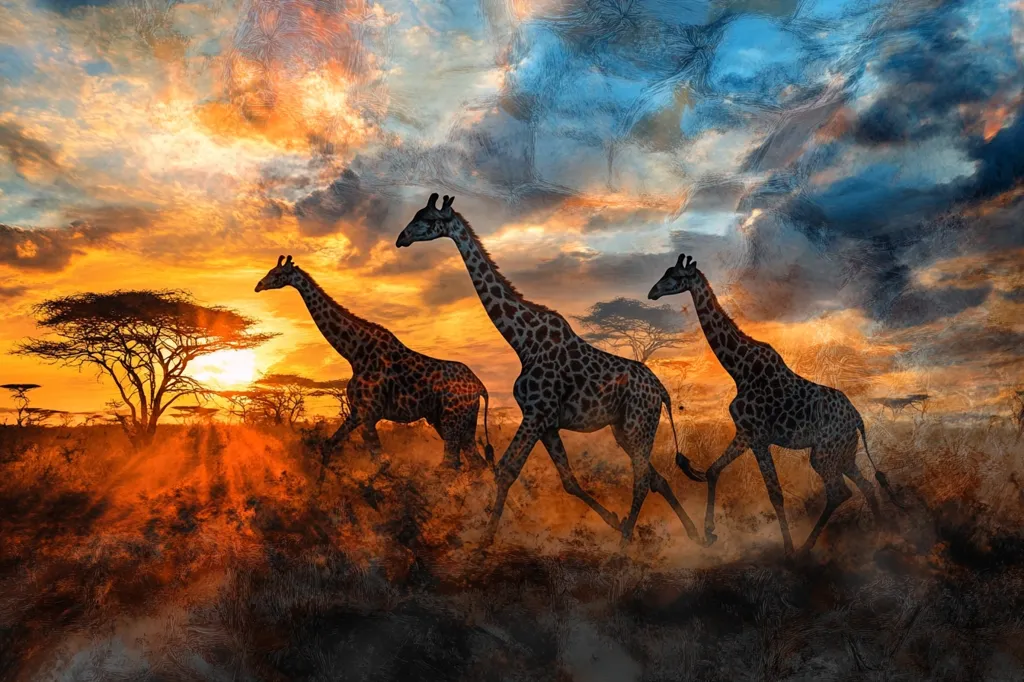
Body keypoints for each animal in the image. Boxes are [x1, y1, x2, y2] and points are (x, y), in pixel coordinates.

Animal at [255, 255, 494, 471]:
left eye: (276, 273)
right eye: (269, 271)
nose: (258, 285)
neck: (355, 354)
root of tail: (480, 386)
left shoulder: (369, 415)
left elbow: (381, 462)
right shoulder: (357, 412)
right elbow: (328, 446)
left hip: (452, 419)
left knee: (451, 465)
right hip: (459, 421)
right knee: (476, 463)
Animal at [396, 194, 707, 546]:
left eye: (427, 219)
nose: (401, 238)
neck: (523, 341)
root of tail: (662, 391)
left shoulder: (536, 413)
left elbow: (506, 470)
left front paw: (485, 539)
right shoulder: (546, 422)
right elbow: (568, 480)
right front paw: (612, 519)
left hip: (639, 424)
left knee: (642, 479)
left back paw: (626, 540)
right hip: (625, 429)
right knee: (656, 477)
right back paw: (691, 534)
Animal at [648, 253, 904, 555]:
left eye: (675, 276)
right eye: (665, 272)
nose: (652, 292)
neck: (739, 370)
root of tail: (858, 419)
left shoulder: (758, 437)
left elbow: (774, 493)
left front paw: (788, 549)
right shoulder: (745, 433)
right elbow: (713, 470)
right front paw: (709, 532)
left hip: (825, 452)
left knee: (839, 491)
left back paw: (807, 548)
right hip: (845, 453)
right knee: (866, 485)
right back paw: (880, 536)